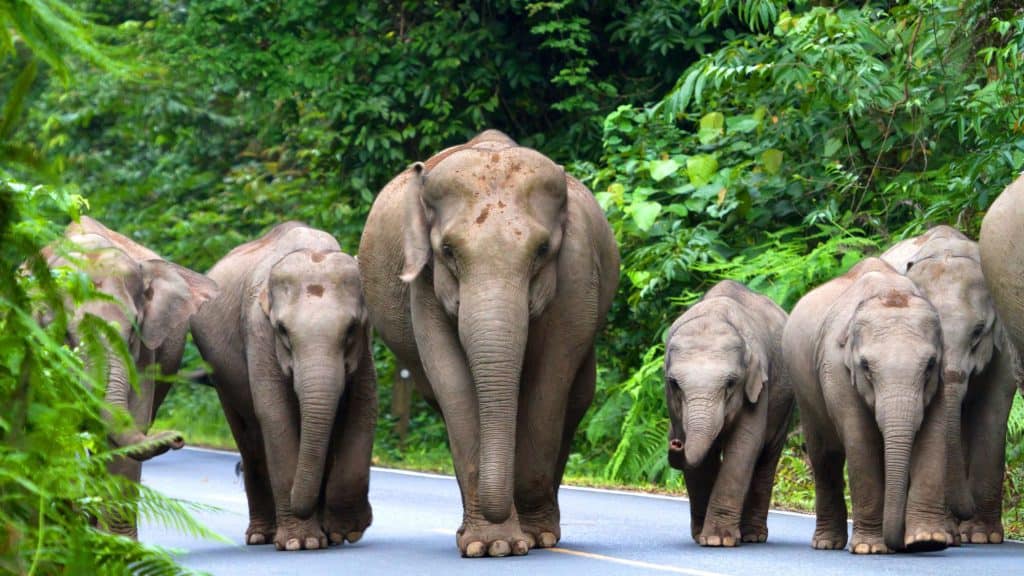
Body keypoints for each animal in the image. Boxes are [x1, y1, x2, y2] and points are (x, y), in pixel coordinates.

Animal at [45, 216, 218, 535]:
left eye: (133, 328)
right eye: (69, 335)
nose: (178, 437)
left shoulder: (146, 354)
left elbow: (130, 425)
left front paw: (118, 544)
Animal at [190, 222, 377, 551]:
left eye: (351, 329)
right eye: (282, 330)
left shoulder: (365, 347)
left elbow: (363, 407)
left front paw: (345, 532)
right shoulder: (258, 333)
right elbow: (275, 415)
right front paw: (301, 542)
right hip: (221, 376)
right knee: (250, 439)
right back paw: (261, 536)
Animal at [358, 129, 619, 557]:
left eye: (542, 250)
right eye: (448, 251)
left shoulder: (577, 274)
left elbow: (550, 382)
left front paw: (532, 538)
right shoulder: (424, 286)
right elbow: (452, 383)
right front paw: (491, 545)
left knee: (576, 399)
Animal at [664, 280, 793, 547]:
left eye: (731, 383)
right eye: (674, 384)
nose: (675, 442)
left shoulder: (759, 385)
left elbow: (744, 446)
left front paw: (718, 540)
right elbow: (704, 458)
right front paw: (705, 537)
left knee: (767, 458)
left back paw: (753, 536)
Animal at [782, 257, 950, 554]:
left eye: (930, 365)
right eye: (866, 367)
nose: (901, 546)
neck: (890, 290)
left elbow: (933, 437)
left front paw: (927, 541)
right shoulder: (835, 369)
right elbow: (860, 441)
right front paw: (870, 548)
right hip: (804, 389)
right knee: (824, 456)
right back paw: (827, 543)